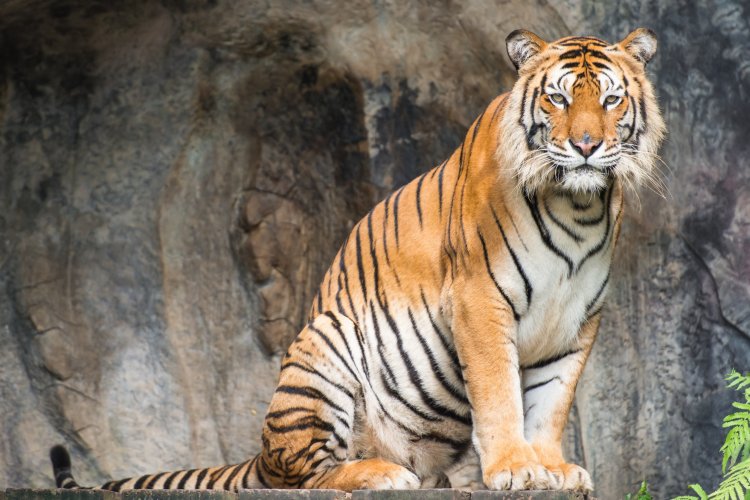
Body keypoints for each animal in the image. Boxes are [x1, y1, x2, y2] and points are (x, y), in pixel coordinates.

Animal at [51, 27, 664, 492]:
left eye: (610, 100)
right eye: (557, 98)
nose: (585, 147)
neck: (578, 205)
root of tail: (259, 452)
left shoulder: (578, 319)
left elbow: (552, 403)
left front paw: (553, 468)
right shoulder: (479, 299)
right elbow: (500, 394)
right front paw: (515, 469)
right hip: (327, 342)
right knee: (307, 473)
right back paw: (381, 473)